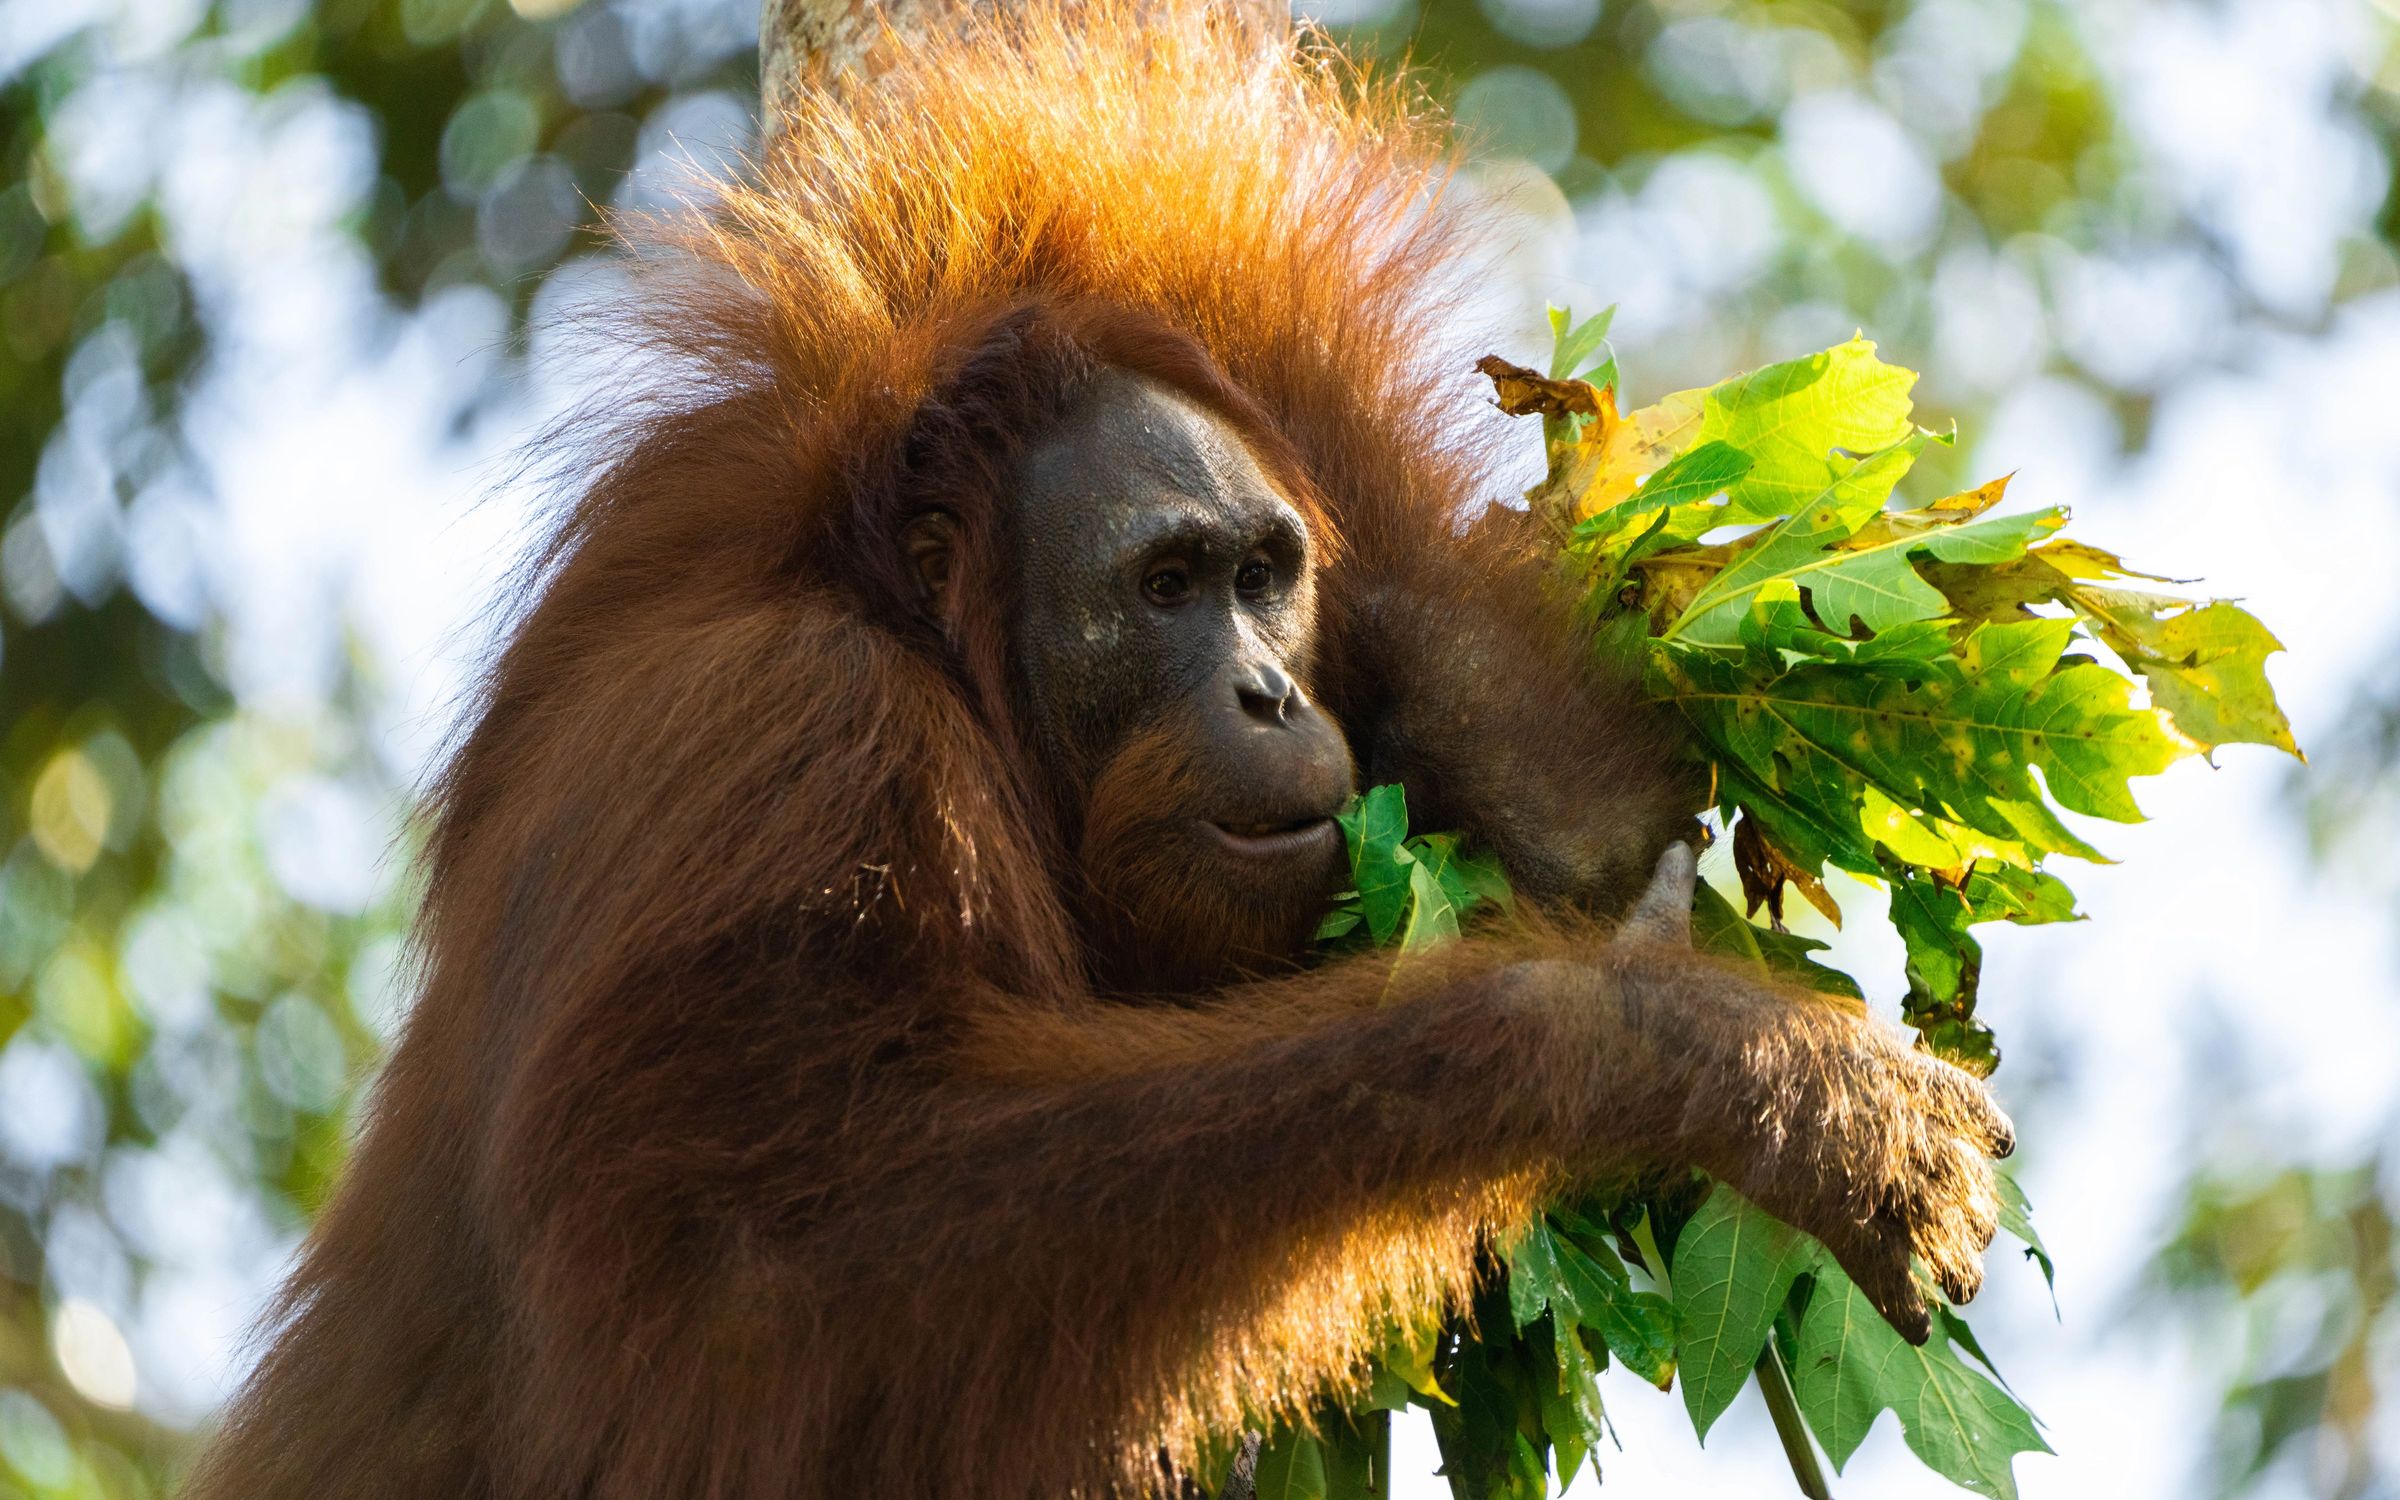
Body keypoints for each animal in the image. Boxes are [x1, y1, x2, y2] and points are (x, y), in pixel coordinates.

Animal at [182, 7, 2011, 1498]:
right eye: (1167, 586)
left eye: (1266, 577)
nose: (1272, 694)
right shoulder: (779, 746)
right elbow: (751, 1299)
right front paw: (1665, 1045)